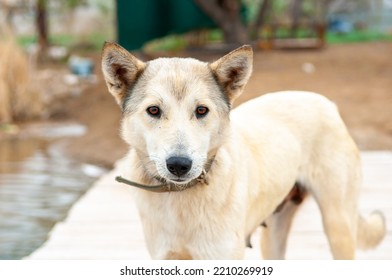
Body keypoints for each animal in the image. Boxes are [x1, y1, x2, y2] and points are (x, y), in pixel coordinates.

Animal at [101, 42, 386, 260]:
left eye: (201, 110)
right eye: (154, 110)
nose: (179, 165)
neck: (181, 199)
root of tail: (326, 102)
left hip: (338, 228)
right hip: (273, 237)